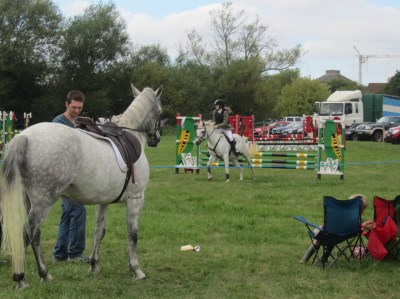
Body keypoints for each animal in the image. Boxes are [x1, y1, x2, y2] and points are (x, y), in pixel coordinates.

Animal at [0, 84, 162, 290]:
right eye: (160, 111)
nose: (156, 138)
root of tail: (24, 136)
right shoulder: (136, 199)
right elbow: (132, 234)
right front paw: (136, 270)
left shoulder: (103, 202)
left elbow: (98, 231)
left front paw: (94, 265)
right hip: (43, 202)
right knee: (29, 233)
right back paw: (23, 277)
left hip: (26, 199)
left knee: (31, 234)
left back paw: (43, 274)